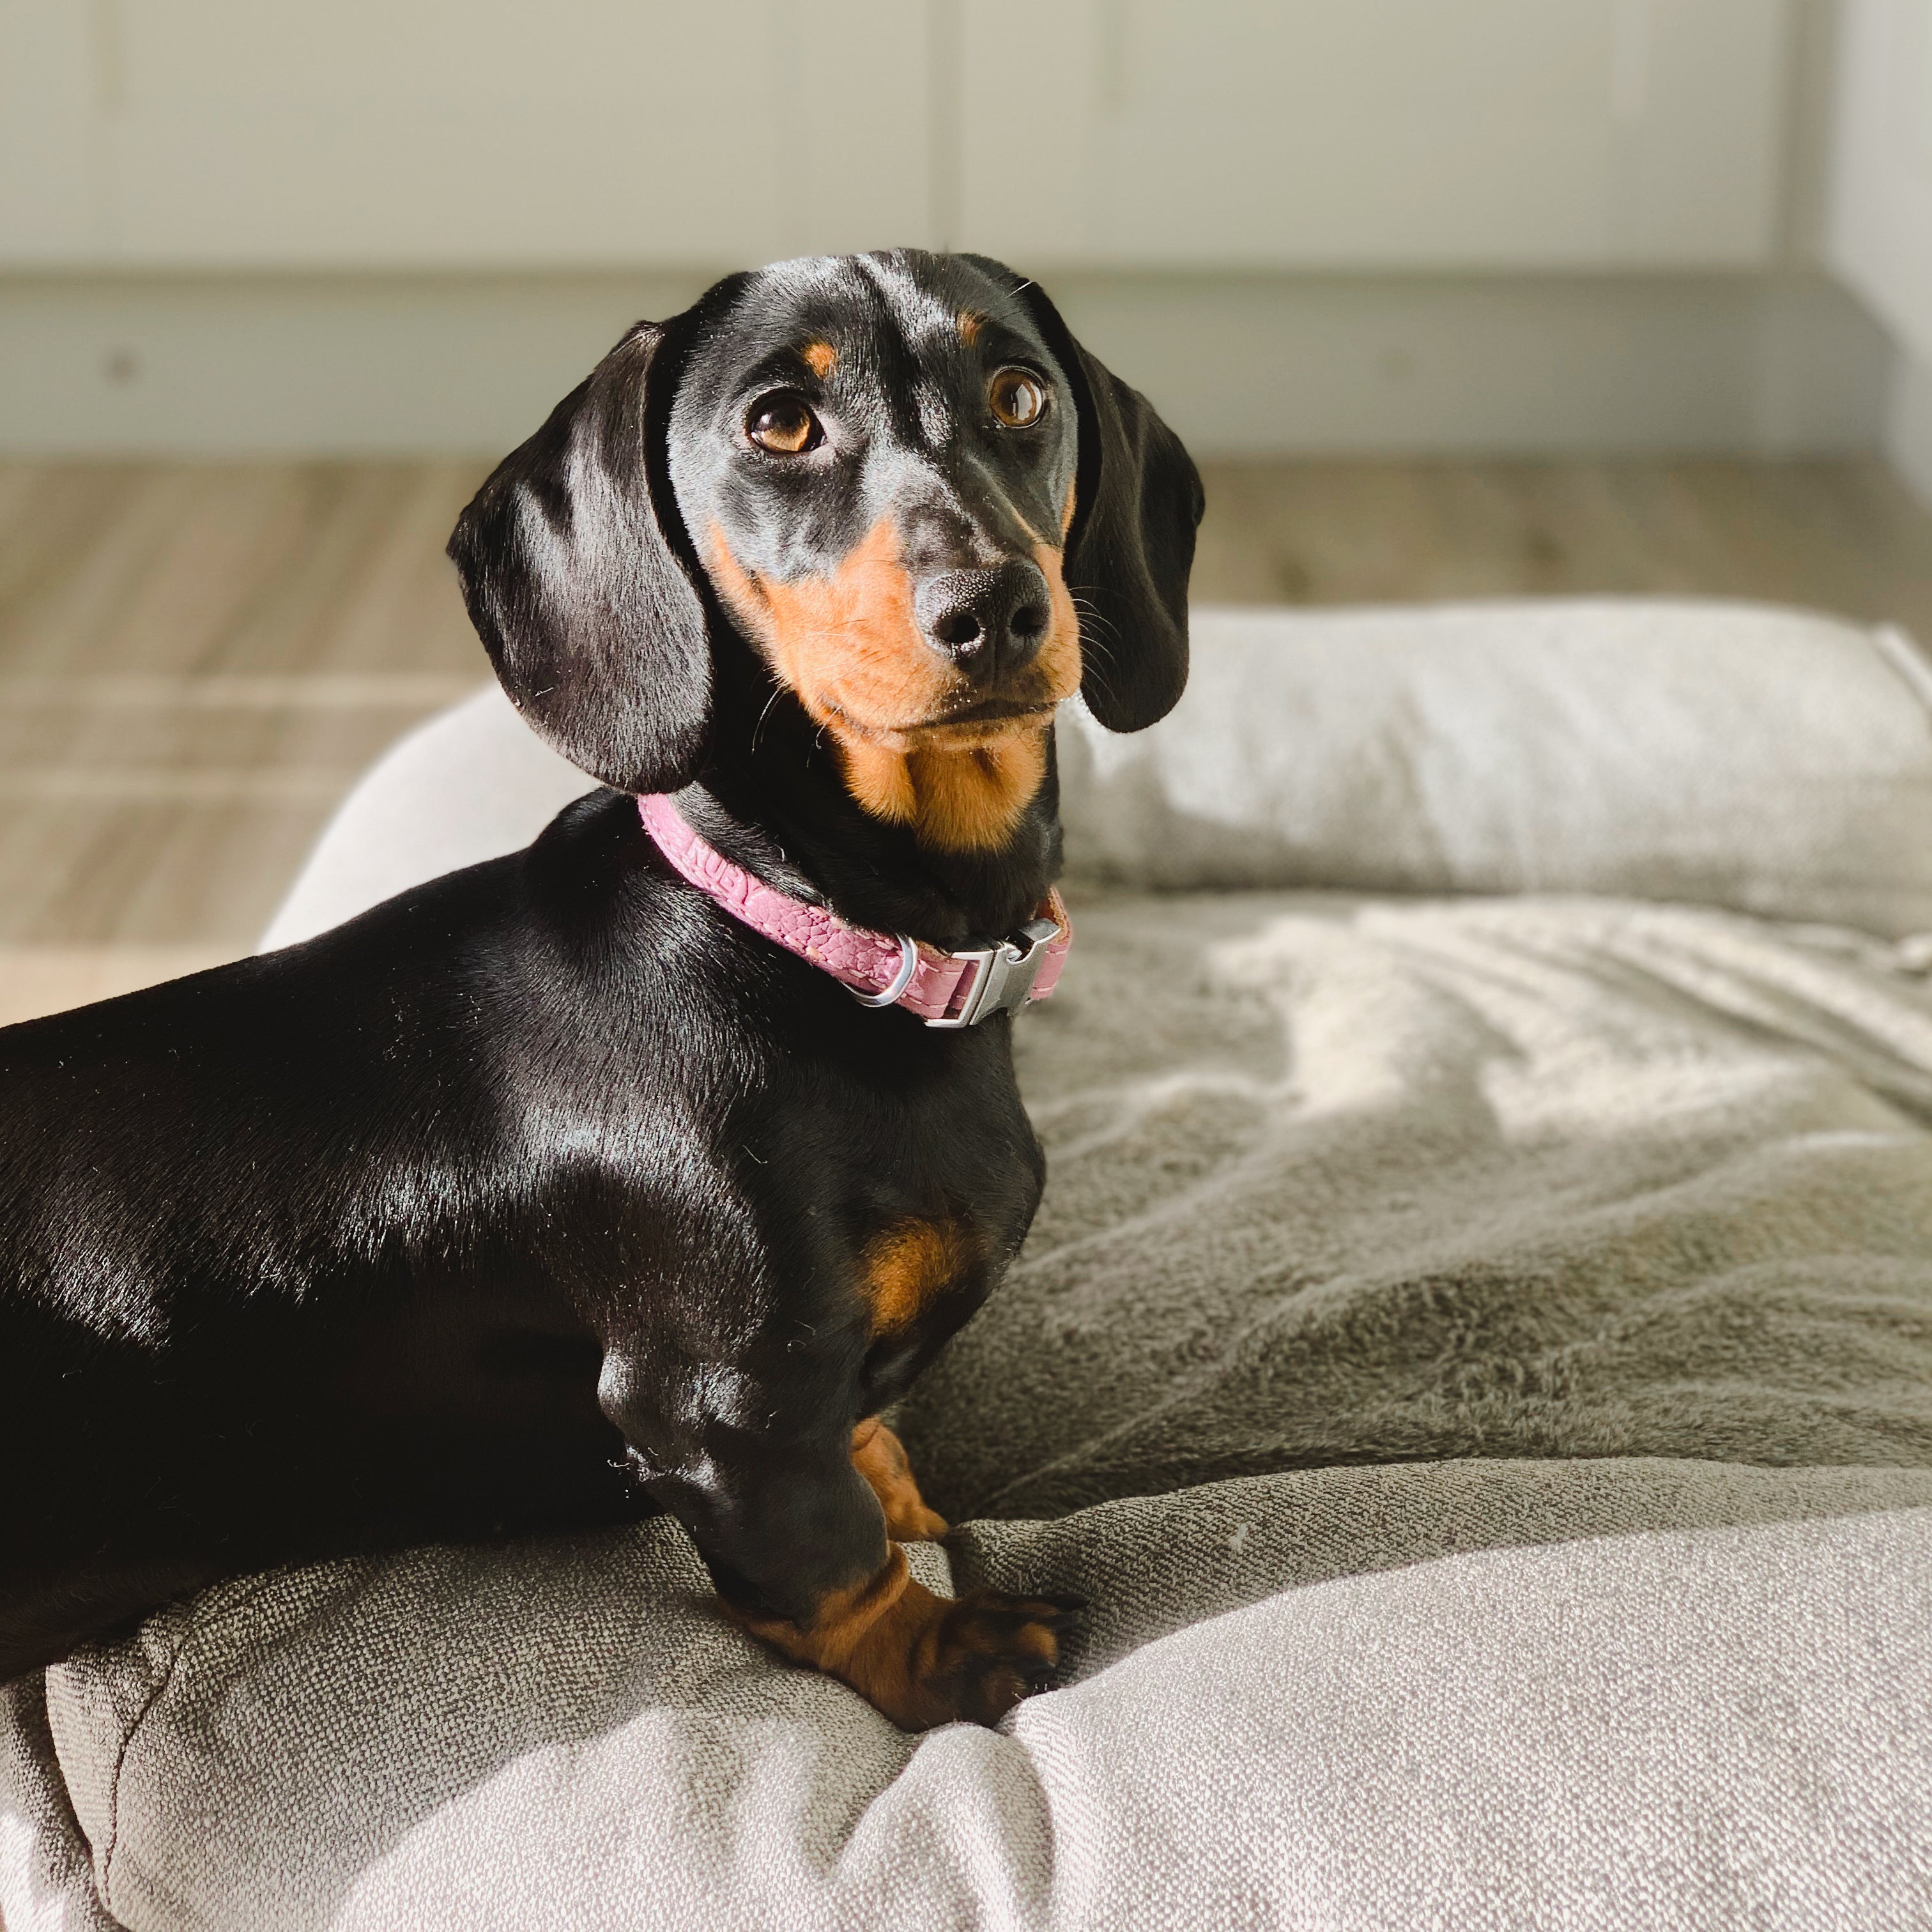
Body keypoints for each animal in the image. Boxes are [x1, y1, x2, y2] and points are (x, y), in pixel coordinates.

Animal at [0, 249, 1197, 1731]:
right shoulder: (725, 1405)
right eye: (779, 423)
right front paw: (942, 1644)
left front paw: (916, 1502)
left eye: (1022, 392)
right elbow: (828, 1554)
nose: (994, 611)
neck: (800, 940)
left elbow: (867, 1444)